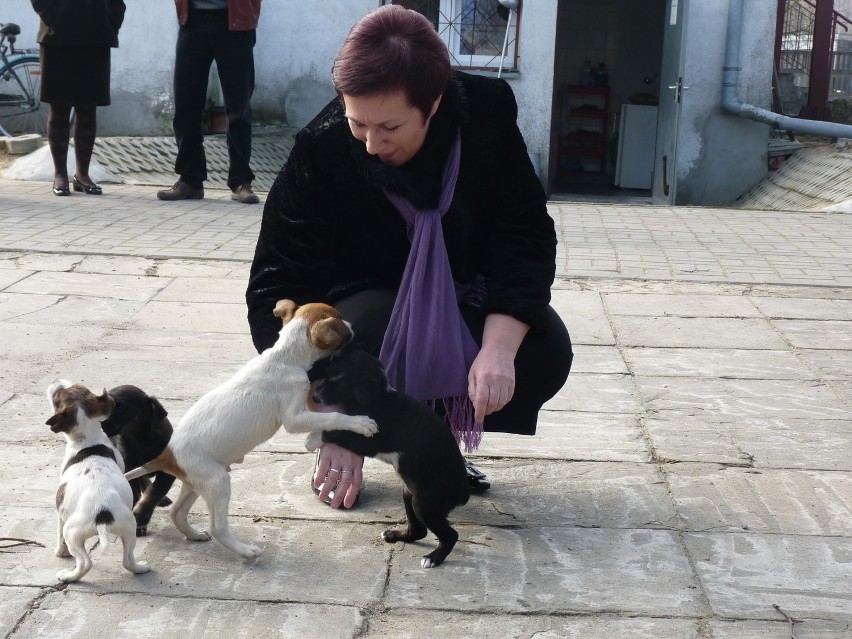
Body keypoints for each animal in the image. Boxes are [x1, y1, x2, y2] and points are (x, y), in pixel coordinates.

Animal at [46, 380, 151, 584]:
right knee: (128, 560)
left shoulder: (61, 514)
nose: (57, 381)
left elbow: (58, 532)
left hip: (72, 533)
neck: (88, 437)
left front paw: (60, 553)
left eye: (57, 397)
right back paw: (142, 568)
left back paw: (68, 576)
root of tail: (103, 515)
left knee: (85, 563)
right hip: (129, 528)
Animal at [98, 388, 175, 536]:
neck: (140, 438)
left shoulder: (167, 471)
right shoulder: (129, 466)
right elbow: (134, 493)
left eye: (121, 407)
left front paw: (140, 517)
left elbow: (155, 492)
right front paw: (137, 523)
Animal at [125, 300, 378, 560]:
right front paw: (360, 423)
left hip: (197, 481)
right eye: (339, 319)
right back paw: (246, 551)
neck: (284, 356)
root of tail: (168, 453)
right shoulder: (293, 418)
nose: (352, 325)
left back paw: (194, 535)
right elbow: (333, 416)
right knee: (217, 527)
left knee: (177, 512)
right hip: (217, 481)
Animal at [310, 350, 470, 568]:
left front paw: (312, 438)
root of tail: (464, 492)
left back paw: (433, 558)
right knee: (419, 530)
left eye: (336, 381)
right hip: (409, 493)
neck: (377, 398)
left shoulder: (367, 442)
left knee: (451, 535)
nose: (314, 396)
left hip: (426, 501)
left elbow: (338, 431)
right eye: (326, 375)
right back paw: (394, 536)